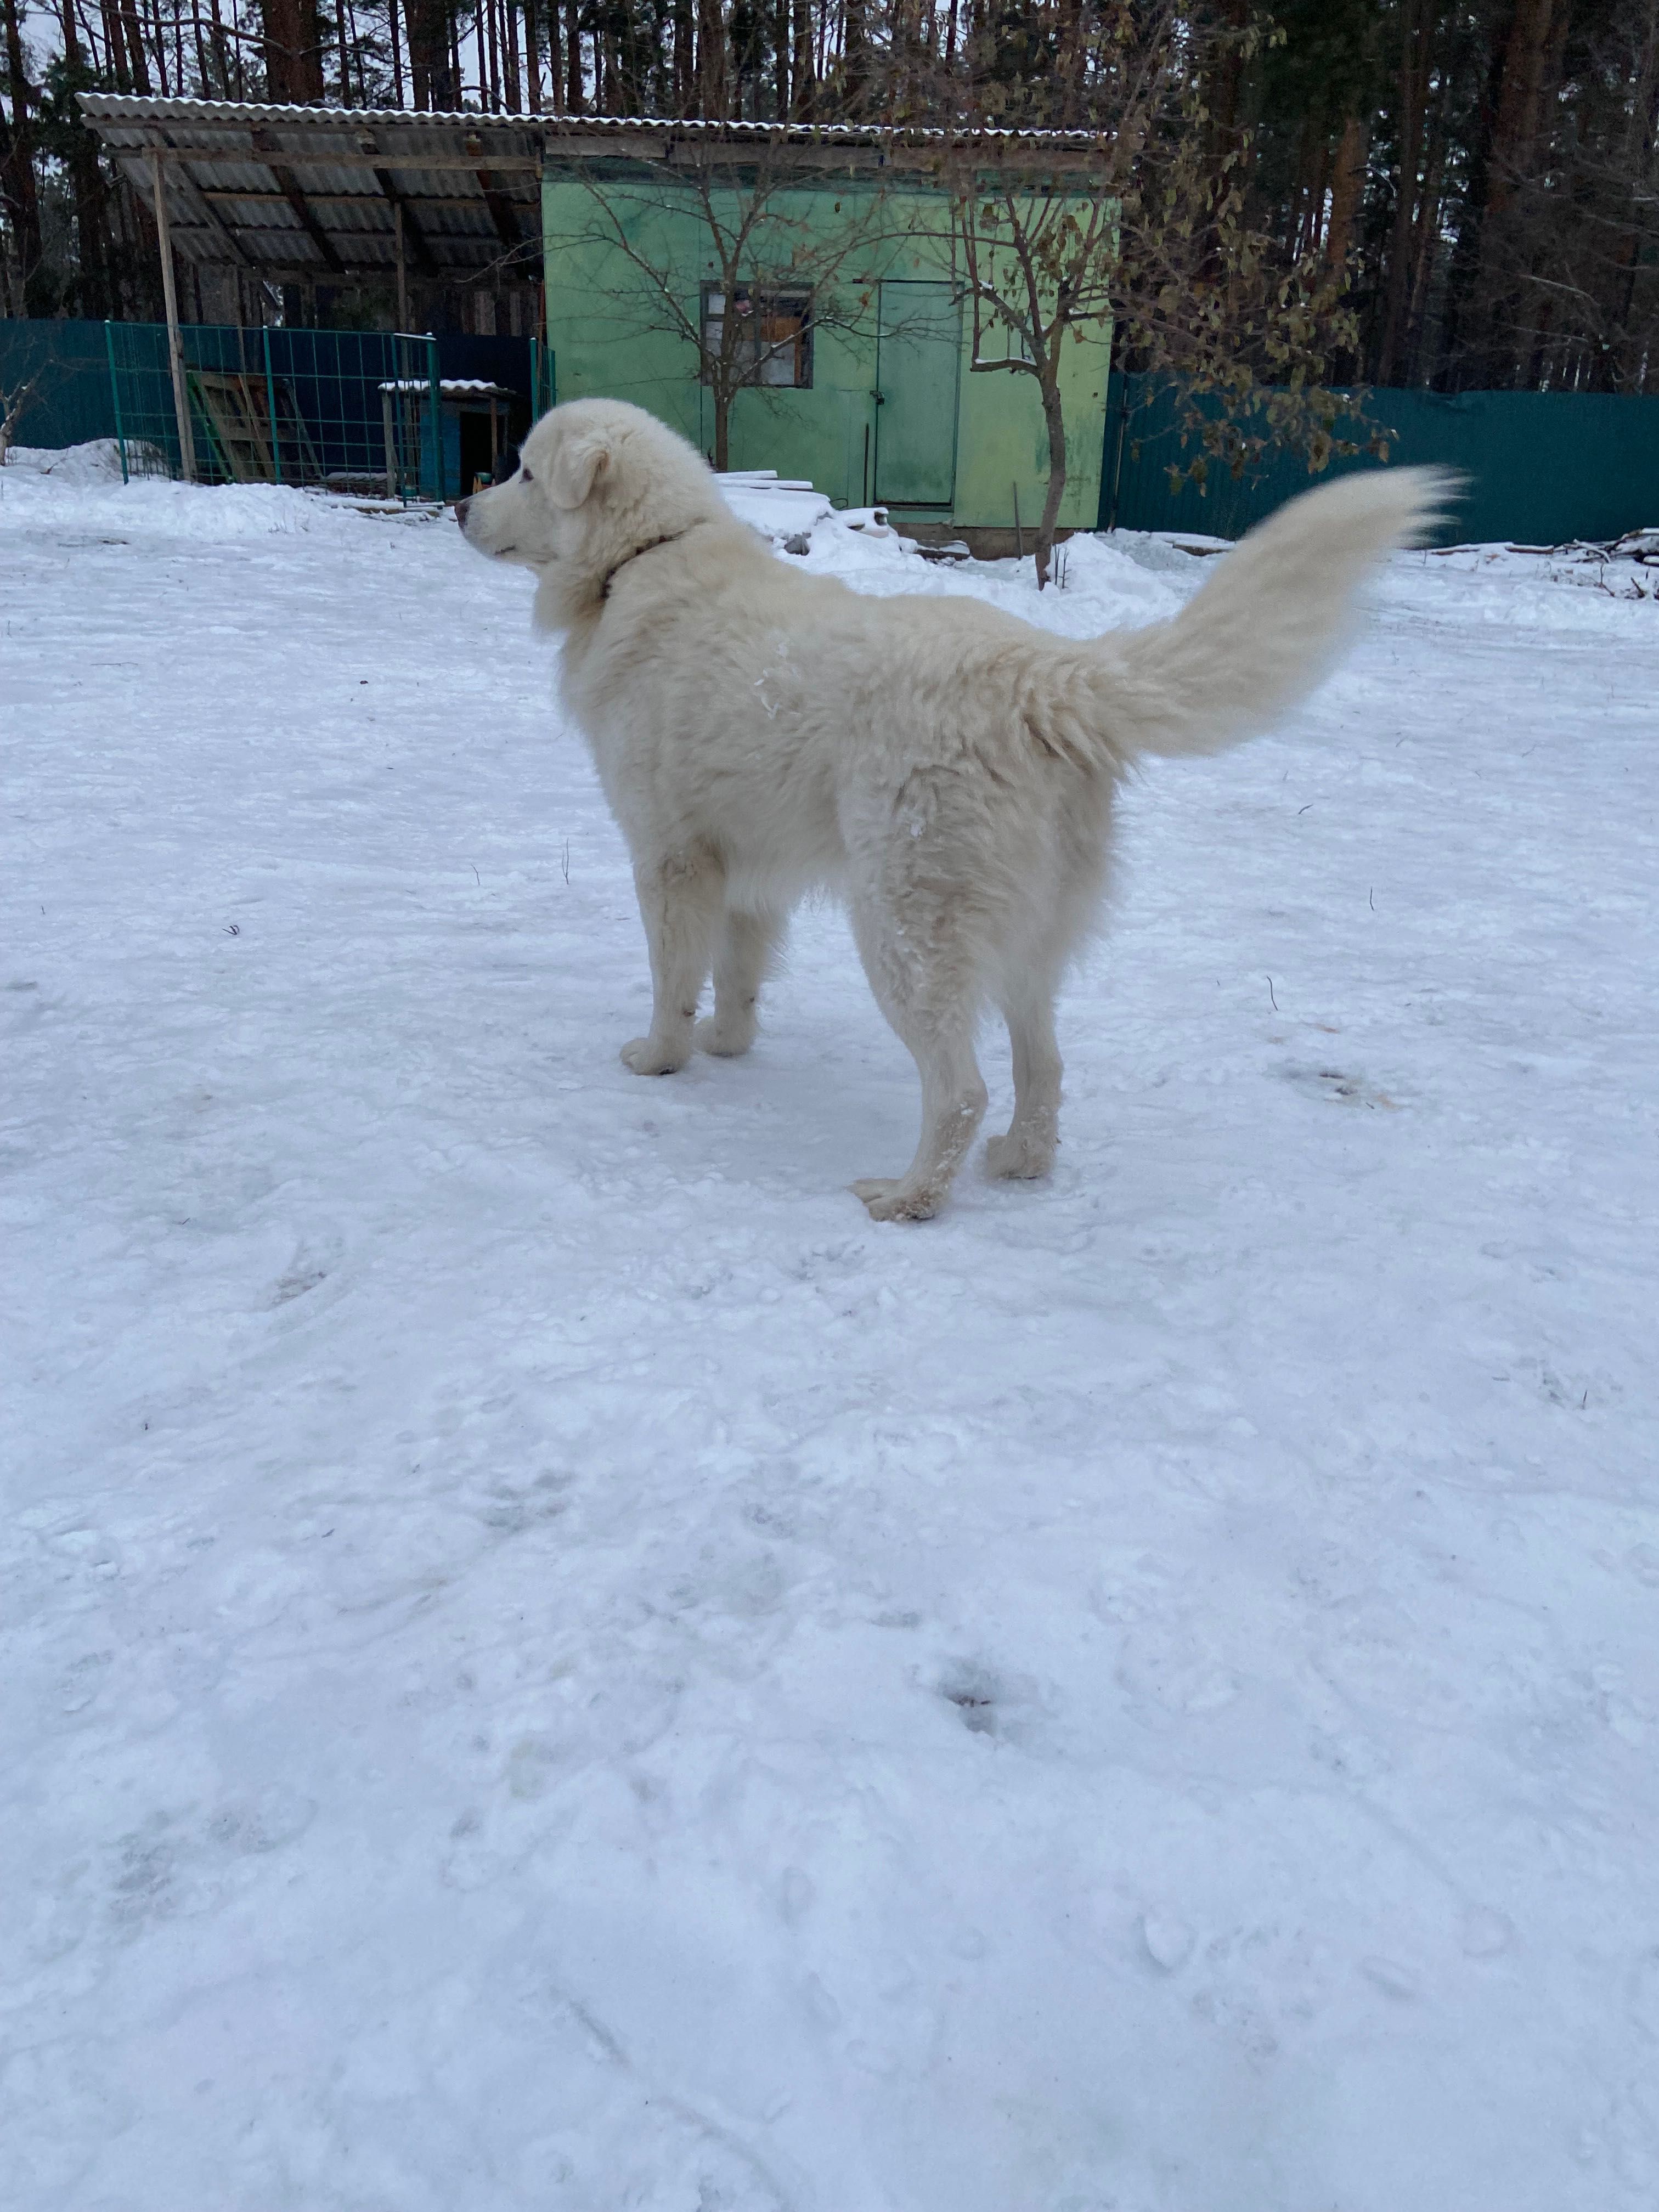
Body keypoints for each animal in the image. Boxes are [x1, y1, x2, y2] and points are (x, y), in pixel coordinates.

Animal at [462, 402, 1451, 1229]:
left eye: (523, 472)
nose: (463, 508)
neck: (639, 559)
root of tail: (1041, 675)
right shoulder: (749, 869)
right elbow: (740, 977)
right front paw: (730, 1046)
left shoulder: (669, 858)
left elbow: (674, 977)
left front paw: (662, 1058)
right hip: (1021, 939)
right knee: (1042, 1066)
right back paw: (1019, 1161)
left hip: (904, 932)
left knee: (961, 1089)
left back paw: (907, 1198)